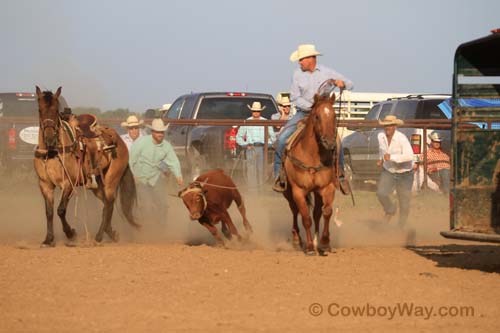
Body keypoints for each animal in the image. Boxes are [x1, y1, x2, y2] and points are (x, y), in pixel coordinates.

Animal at [34, 85, 139, 246]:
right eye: (40, 109)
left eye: (56, 110)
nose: (50, 138)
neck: (52, 152)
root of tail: (119, 140)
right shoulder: (45, 185)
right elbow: (49, 212)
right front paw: (48, 239)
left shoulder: (68, 184)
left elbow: (60, 210)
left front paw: (71, 234)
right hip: (97, 185)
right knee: (105, 205)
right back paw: (111, 233)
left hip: (111, 180)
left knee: (109, 203)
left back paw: (100, 236)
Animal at [282, 92, 340, 254]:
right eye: (317, 116)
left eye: (334, 116)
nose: (329, 142)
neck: (312, 155)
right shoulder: (298, 190)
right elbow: (305, 218)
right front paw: (308, 247)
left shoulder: (327, 188)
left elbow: (326, 212)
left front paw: (325, 242)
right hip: (288, 191)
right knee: (295, 210)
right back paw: (297, 239)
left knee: (317, 213)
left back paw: (317, 242)